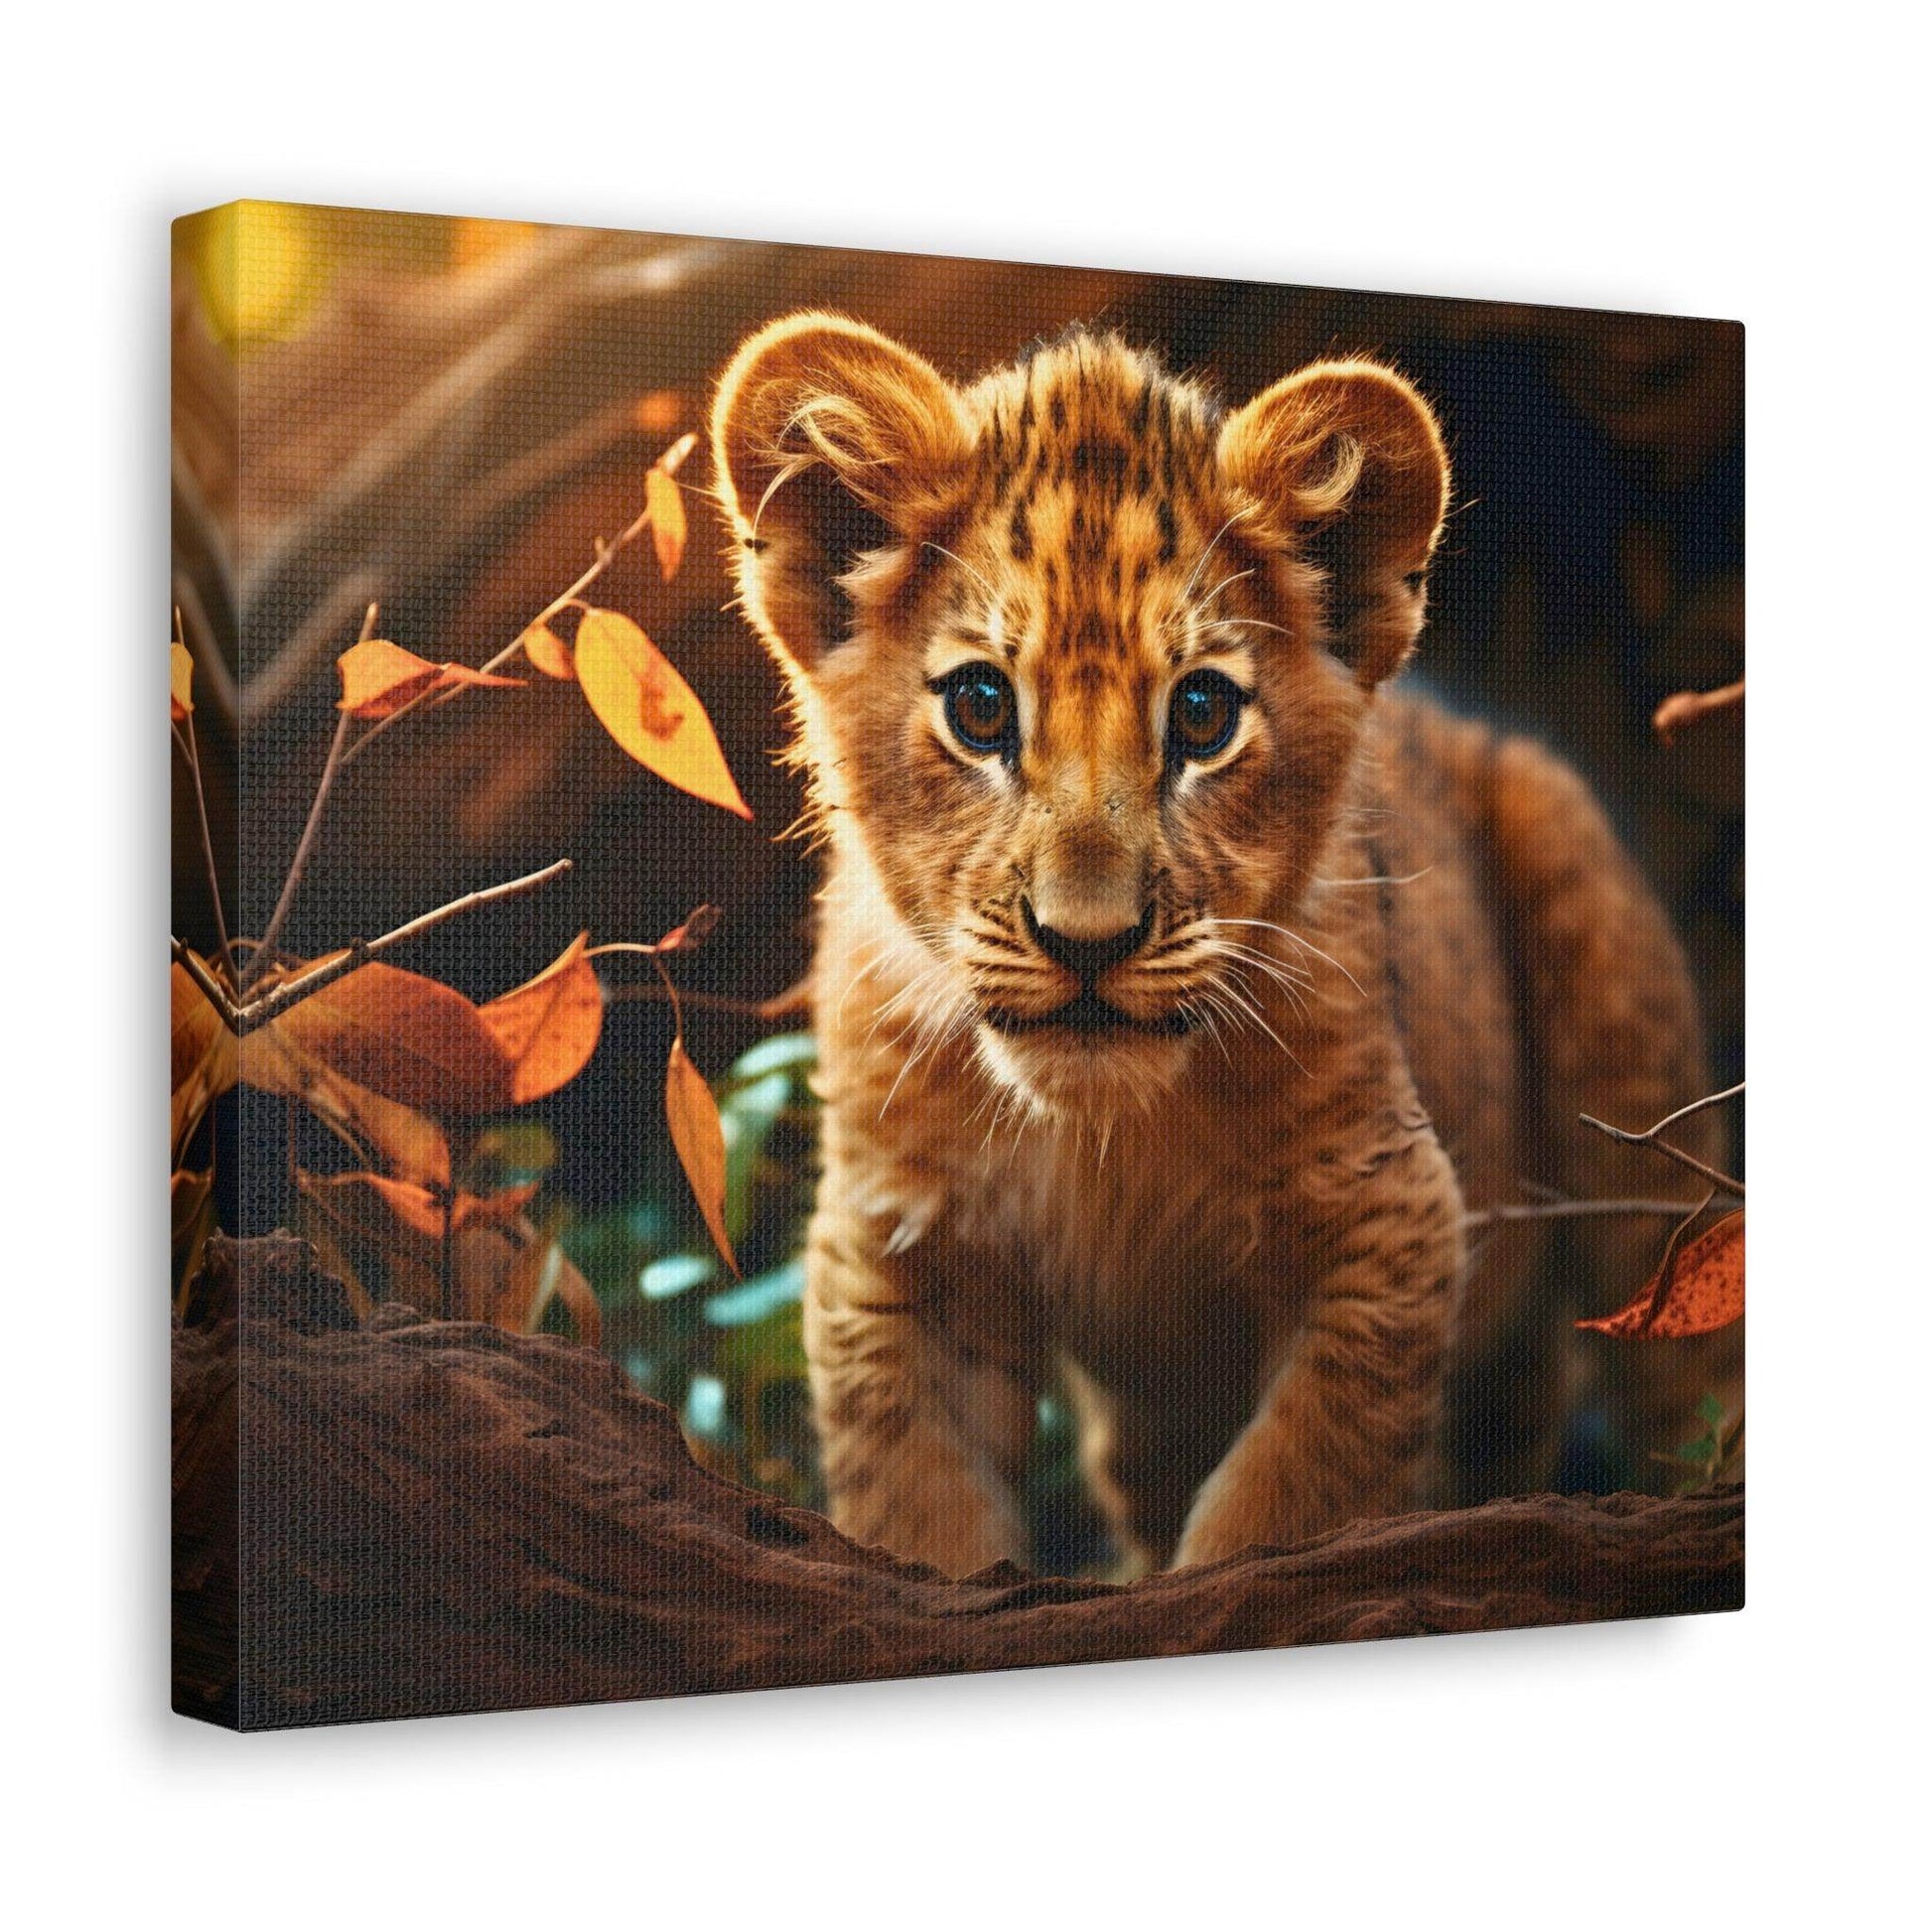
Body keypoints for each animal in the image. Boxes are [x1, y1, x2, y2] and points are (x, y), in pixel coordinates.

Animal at [709, 312, 1733, 1577]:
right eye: (981, 707)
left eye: (1200, 714)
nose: (1086, 940)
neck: (1101, 1134)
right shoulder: (898, 1248)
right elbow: (923, 1513)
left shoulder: (1386, 1213)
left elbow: (1283, 1498)